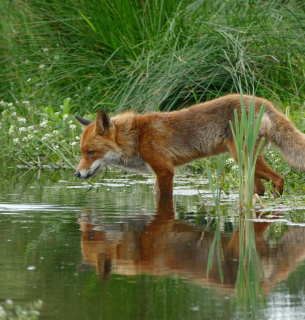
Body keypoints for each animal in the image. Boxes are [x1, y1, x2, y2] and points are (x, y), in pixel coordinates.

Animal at [73, 94, 304, 196]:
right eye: (82, 153)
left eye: (91, 152)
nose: (77, 174)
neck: (138, 137)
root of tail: (265, 102)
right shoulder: (160, 173)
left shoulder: (165, 171)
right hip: (247, 163)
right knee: (261, 187)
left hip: (244, 158)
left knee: (279, 178)